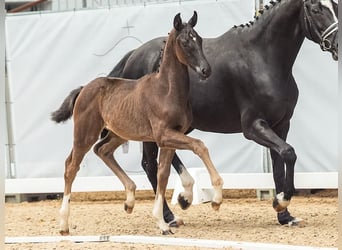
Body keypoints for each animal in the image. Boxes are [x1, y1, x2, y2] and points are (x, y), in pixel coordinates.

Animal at [49, 11, 223, 234]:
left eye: (199, 39)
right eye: (185, 42)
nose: (205, 70)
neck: (166, 90)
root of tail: (84, 88)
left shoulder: (170, 137)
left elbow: (163, 174)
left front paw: (163, 222)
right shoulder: (164, 135)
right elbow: (199, 146)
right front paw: (216, 199)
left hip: (118, 134)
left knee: (102, 150)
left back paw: (130, 200)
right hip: (85, 134)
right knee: (71, 166)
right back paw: (63, 224)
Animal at [107, 0, 340, 227]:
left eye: (336, 6)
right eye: (316, 9)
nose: (338, 45)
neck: (261, 59)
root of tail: (134, 55)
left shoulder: (281, 125)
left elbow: (280, 164)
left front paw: (284, 215)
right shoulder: (254, 127)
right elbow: (289, 153)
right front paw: (280, 202)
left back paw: (184, 198)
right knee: (149, 165)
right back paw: (169, 216)